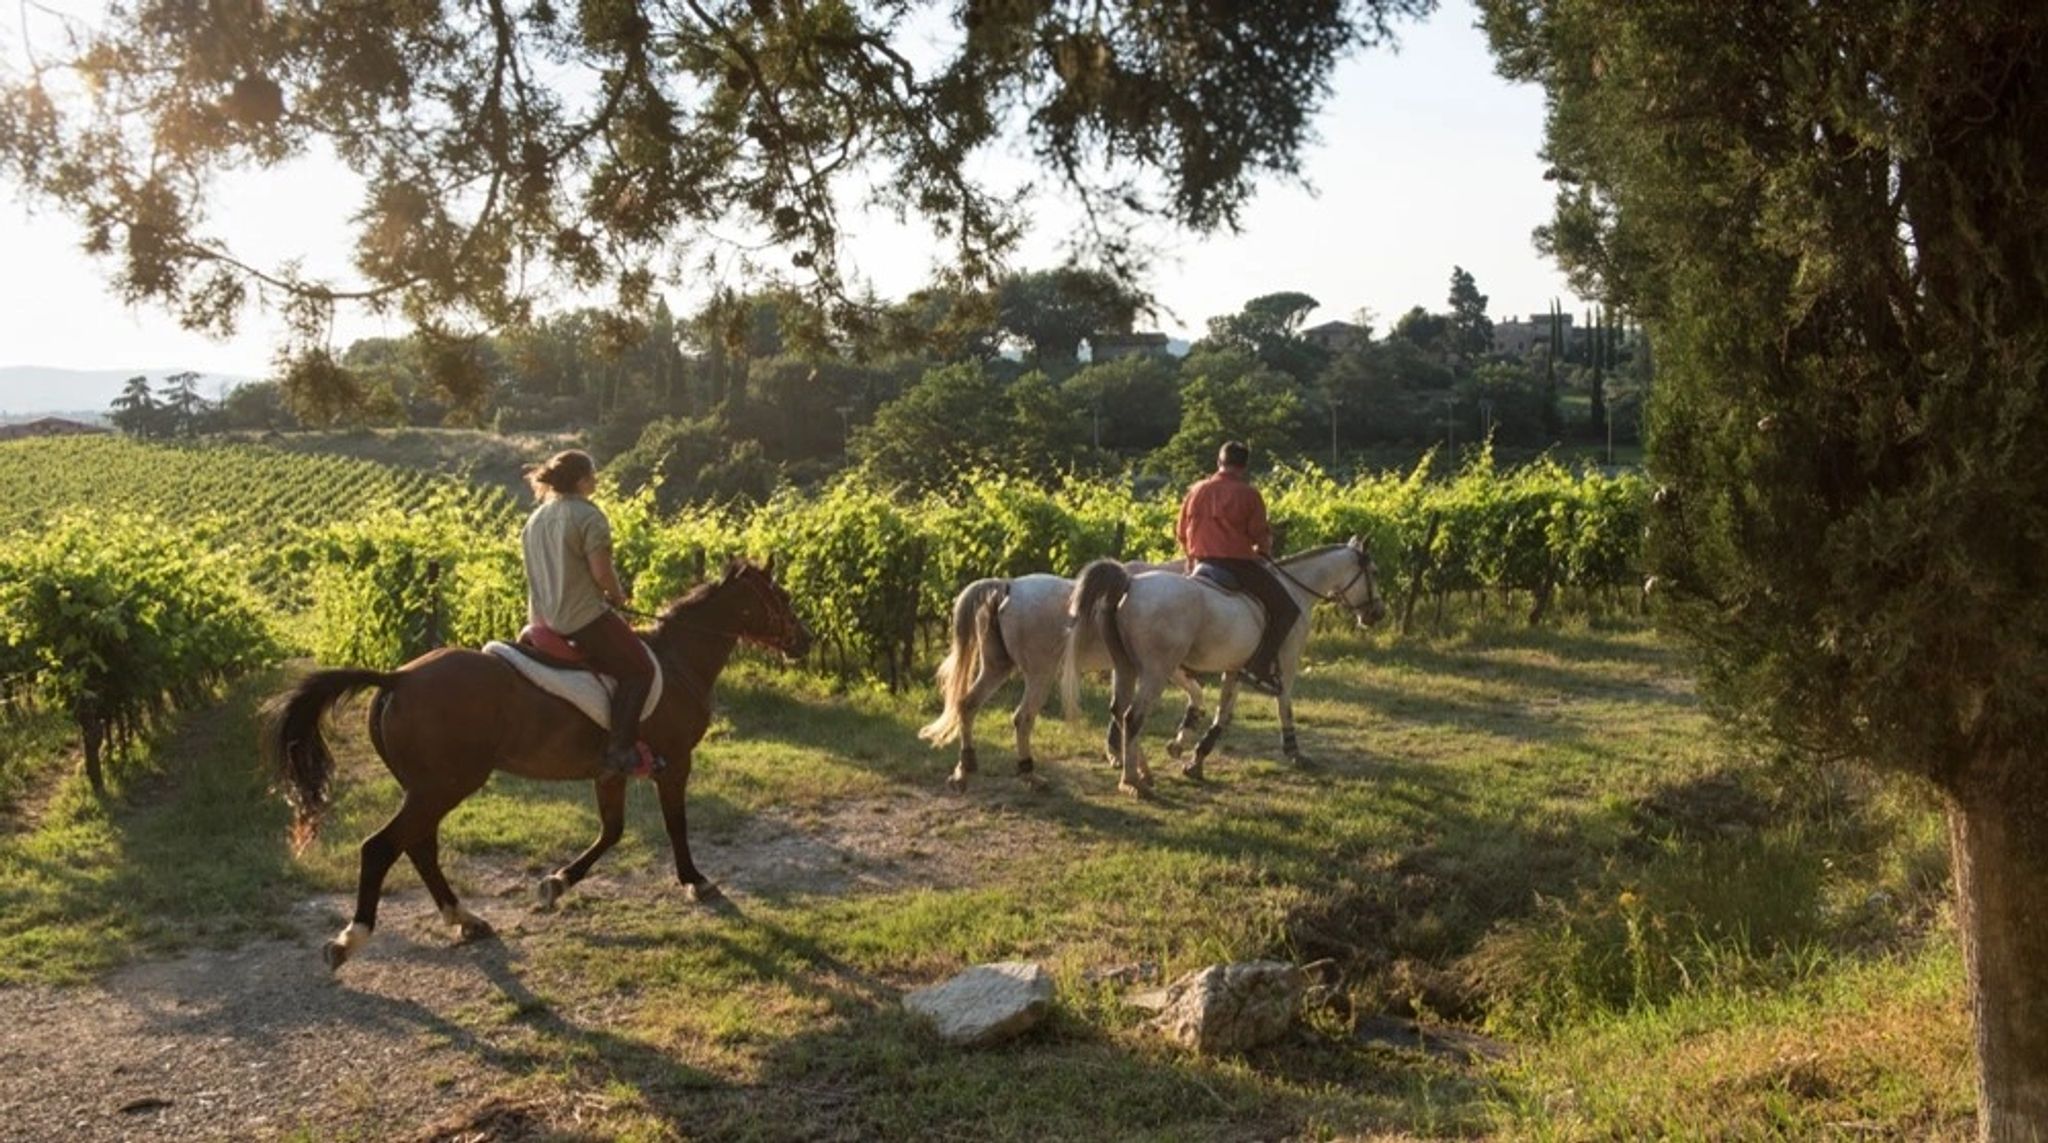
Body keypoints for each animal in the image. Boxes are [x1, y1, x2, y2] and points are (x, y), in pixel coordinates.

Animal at [268, 561, 811, 970]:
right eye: (781, 596)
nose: (804, 641)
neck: (679, 661)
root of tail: (398, 678)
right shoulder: (675, 762)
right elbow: (675, 824)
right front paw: (696, 882)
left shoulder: (610, 772)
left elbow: (611, 831)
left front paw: (555, 884)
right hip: (442, 787)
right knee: (382, 847)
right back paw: (351, 940)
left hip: (427, 788)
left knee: (418, 846)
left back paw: (465, 919)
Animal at [925, 565, 1204, 798]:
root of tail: (1008, 586)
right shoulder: (1161, 667)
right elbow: (1189, 693)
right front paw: (1167, 750)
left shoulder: (1131, 668)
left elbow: (1122, 711)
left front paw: (1138, 766)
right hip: (1040, 674)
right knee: (1022, 718)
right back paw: (1031, 776)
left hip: (997, 668)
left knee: (968, 705)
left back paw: (963, 772)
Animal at [1064, 540, 1384, 798]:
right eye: (1374, 571)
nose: (1377, 613)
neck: (1296, 588)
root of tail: (1130, 584)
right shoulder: (1287, 663)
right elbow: (1284, 707)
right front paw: (1294, 752)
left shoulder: (1234, 669)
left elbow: (1223, 714)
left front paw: (1194, 758)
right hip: (1156, 671)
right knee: (1132, 717)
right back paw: (1133, 782)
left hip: (1127, 666)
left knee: (1119, 711)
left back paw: (1142, 771)